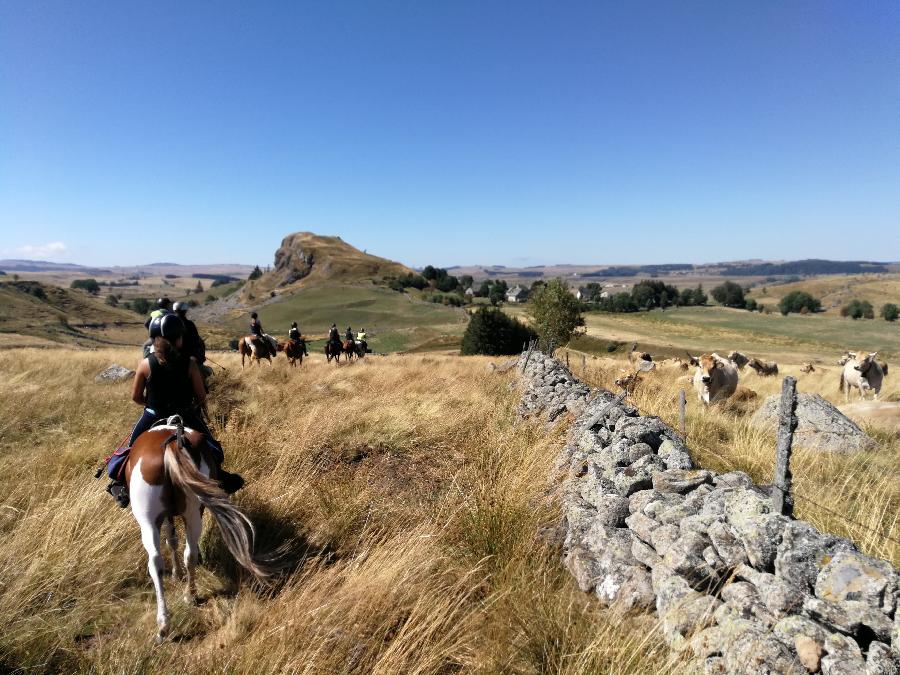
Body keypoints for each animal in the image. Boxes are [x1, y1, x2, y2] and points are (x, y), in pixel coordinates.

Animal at [125, 418, 270, 644]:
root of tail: (173, 442)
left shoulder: (165, 517)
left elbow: (171, 540)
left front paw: (176, 573)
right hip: (193, 511)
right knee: (189, 553)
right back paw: (185, 601)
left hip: (148, 518)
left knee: (156, 561)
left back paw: (167, 621)